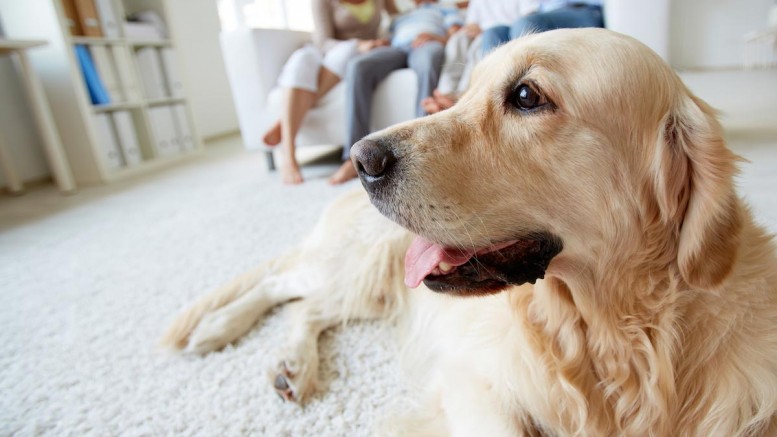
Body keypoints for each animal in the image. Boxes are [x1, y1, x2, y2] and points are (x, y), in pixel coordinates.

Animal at [162, 29, 776, 434]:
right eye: (465, 92)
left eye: (527, 96)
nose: (360, 158)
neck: (611, 336)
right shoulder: (474, 382)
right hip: (363, 266)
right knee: (284, 285)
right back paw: (218, 329)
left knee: (306, 306)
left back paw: (289, 364)